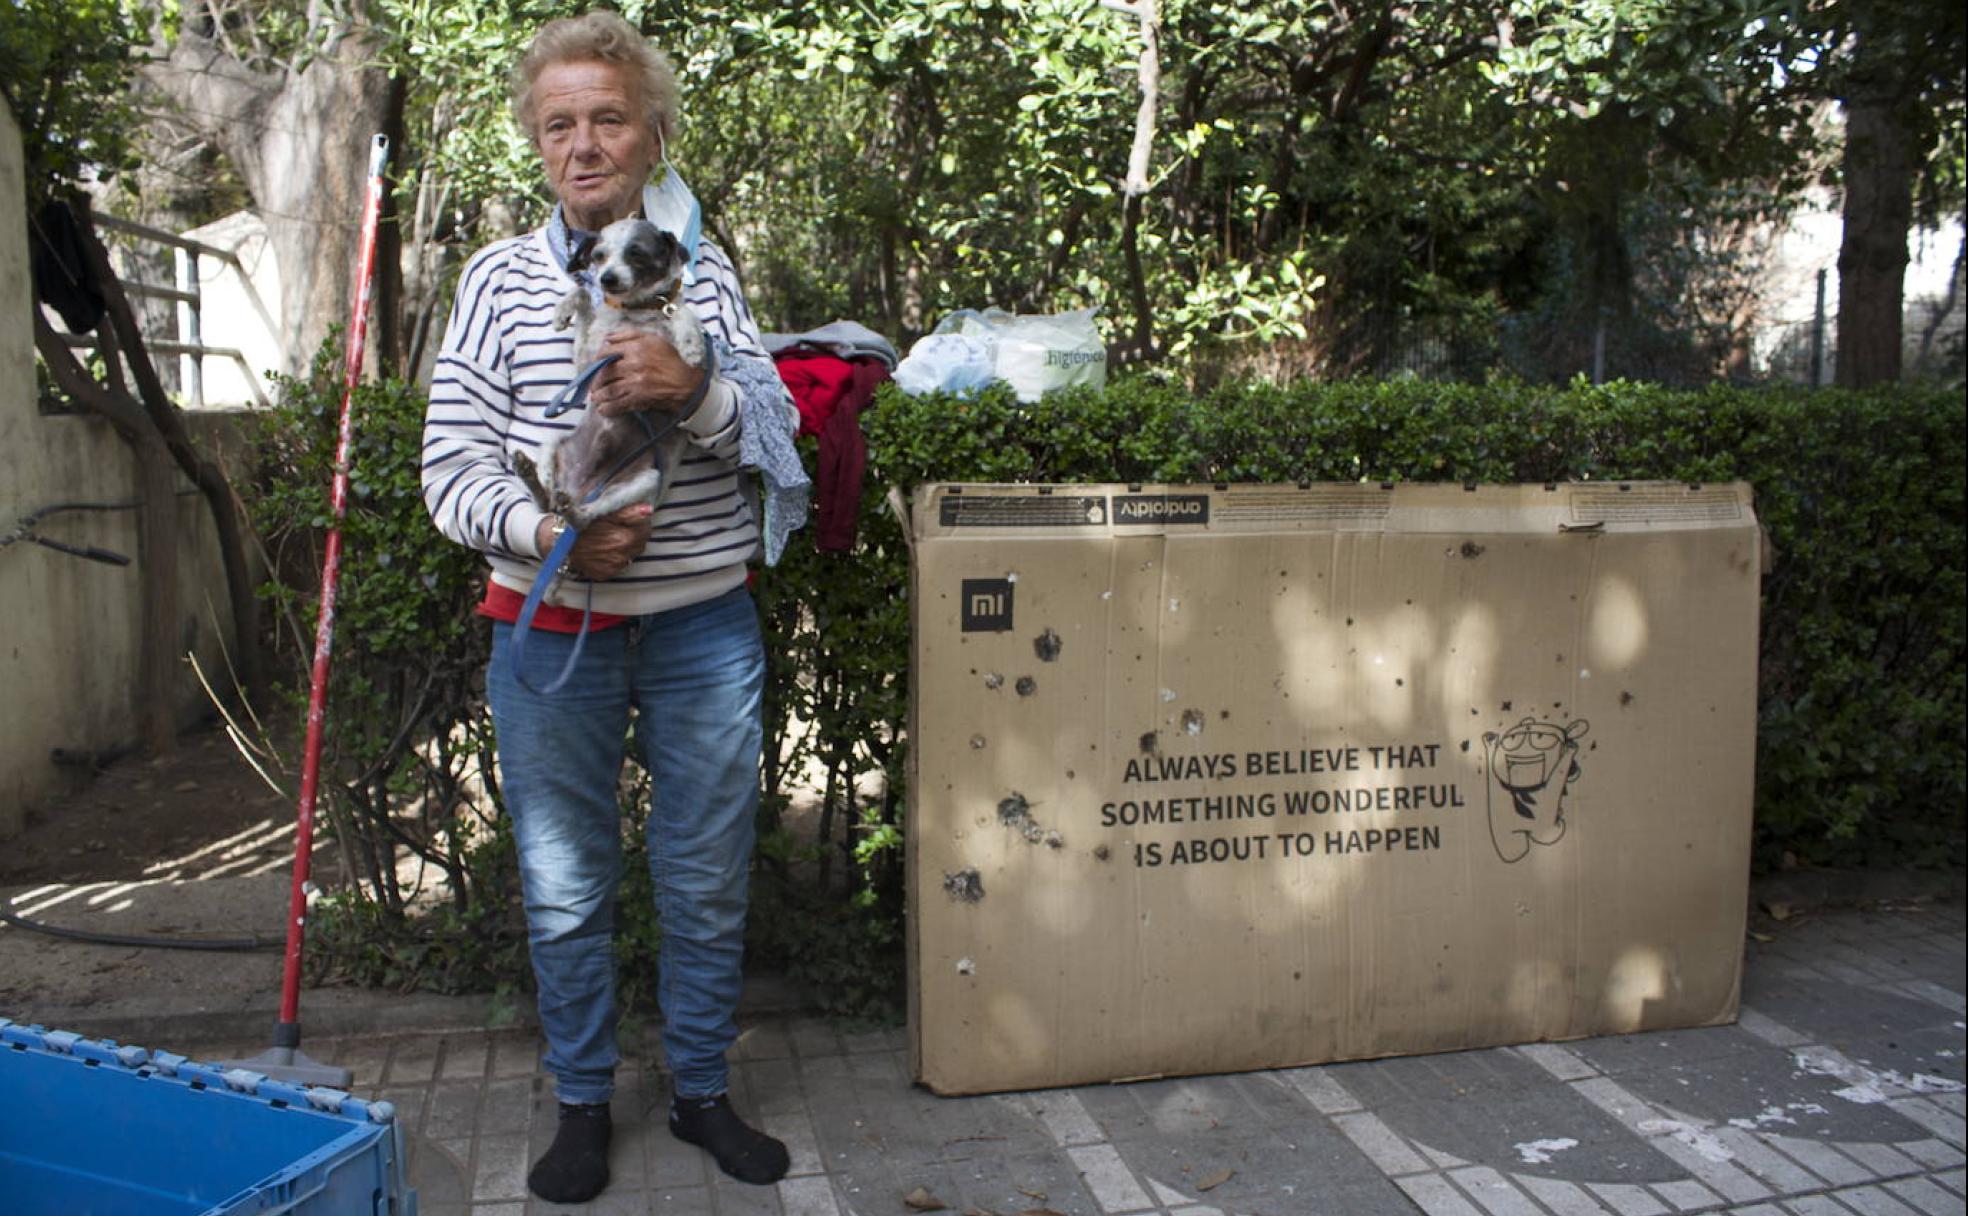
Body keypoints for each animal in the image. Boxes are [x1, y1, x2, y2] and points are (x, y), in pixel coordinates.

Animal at [515, 219, 708, 531]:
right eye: (598, 256)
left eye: (636, 253)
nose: (607, 279)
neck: (636, 312)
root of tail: (580, 489)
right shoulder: (588, 364)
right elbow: (582, 294)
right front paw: (562, 311)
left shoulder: (706, 373)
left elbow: (681, 312)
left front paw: (691, 343)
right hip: (552, 442)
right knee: (545, 500)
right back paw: (532, 475)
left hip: (644, 480)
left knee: (583, 517)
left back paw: (572, 509)